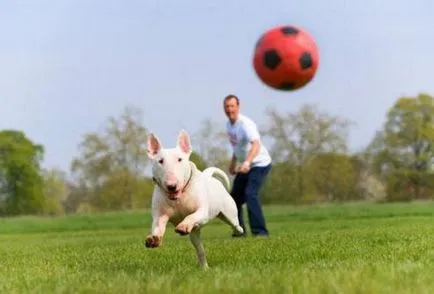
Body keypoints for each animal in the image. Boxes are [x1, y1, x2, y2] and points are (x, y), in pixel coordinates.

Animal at [143, 129, 242, 268]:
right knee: (200, 249)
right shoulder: (160, 215)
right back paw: (204, 267)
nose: (171, 186)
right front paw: (153, 239)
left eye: (180, 159)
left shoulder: (202, 212)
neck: (178, 198)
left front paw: (183, 226)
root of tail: (209, 176)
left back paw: (237, 231)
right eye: (160, 161)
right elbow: (158, 225)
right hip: (195, 234)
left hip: (229, 213)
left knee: (236, 225)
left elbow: (192, 216)